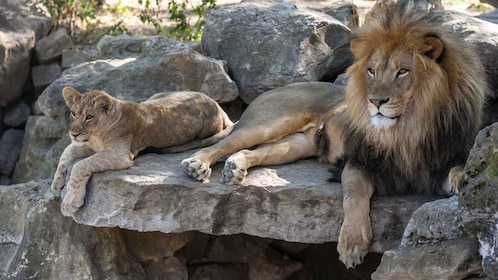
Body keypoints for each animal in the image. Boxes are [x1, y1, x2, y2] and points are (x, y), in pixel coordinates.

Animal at [51, 86, 234, 213]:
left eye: (89, 117)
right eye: (73, 113)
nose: (73, 134)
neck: (96, 135)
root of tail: (217, 105)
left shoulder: (119, 155)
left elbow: (80, 165)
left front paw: (71, 201)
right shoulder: (87, 145)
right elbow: (65, 156)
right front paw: (56, 185)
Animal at [181, 6, 488, 266]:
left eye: (402, 71)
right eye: (371, 71)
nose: (375, 101)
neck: (407, 130)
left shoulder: (441, 161)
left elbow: (458, 168)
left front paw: (464, 182)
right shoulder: (360, 163)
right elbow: (354, 195)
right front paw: (351, 244)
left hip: (294, 146)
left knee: (250, 151)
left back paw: (235, 168)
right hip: (269, 122)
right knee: (226, 142)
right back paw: (197, 165)